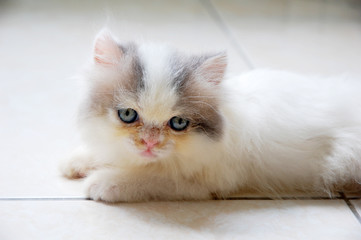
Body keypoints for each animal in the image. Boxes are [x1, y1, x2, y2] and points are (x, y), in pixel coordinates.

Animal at [60, 30, 360, 202]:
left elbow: (146, 177)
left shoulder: (201, 183)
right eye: (127, 115)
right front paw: (77, 161)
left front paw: (102, 182)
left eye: (178, 123)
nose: (150, 143)